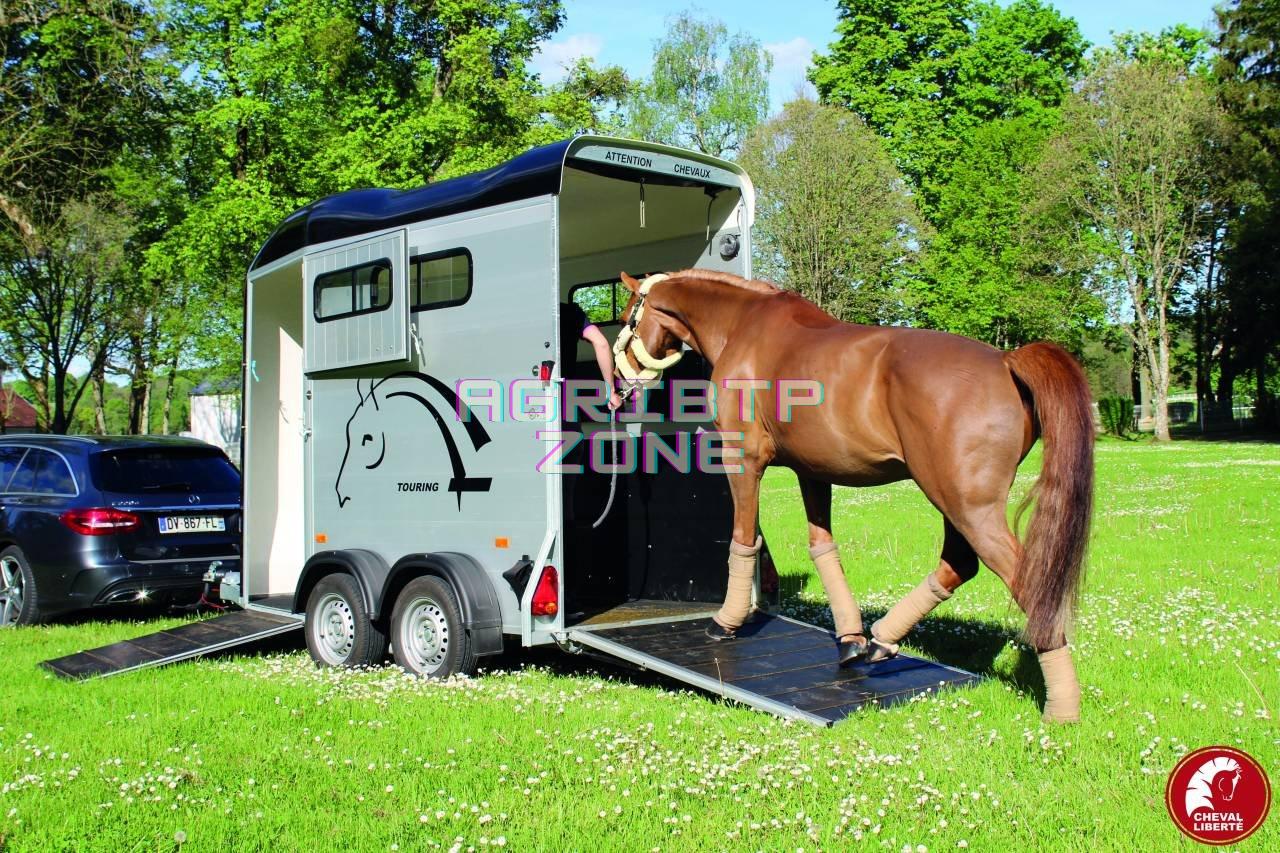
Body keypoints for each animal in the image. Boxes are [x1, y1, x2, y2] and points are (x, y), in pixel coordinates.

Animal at [612, 270, 1094, 723]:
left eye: (627, 315)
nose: (618, 383)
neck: (742, 326)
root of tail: (1005, 360)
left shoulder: (744, 459)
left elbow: (743, 540)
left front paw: (725, 623)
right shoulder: (813, 473)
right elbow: (823, 549)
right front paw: (850, 639)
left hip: (966, 506)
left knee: (1027, 582)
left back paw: (1062, 709)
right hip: (956, 504)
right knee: (959, 564)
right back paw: (880, 642)